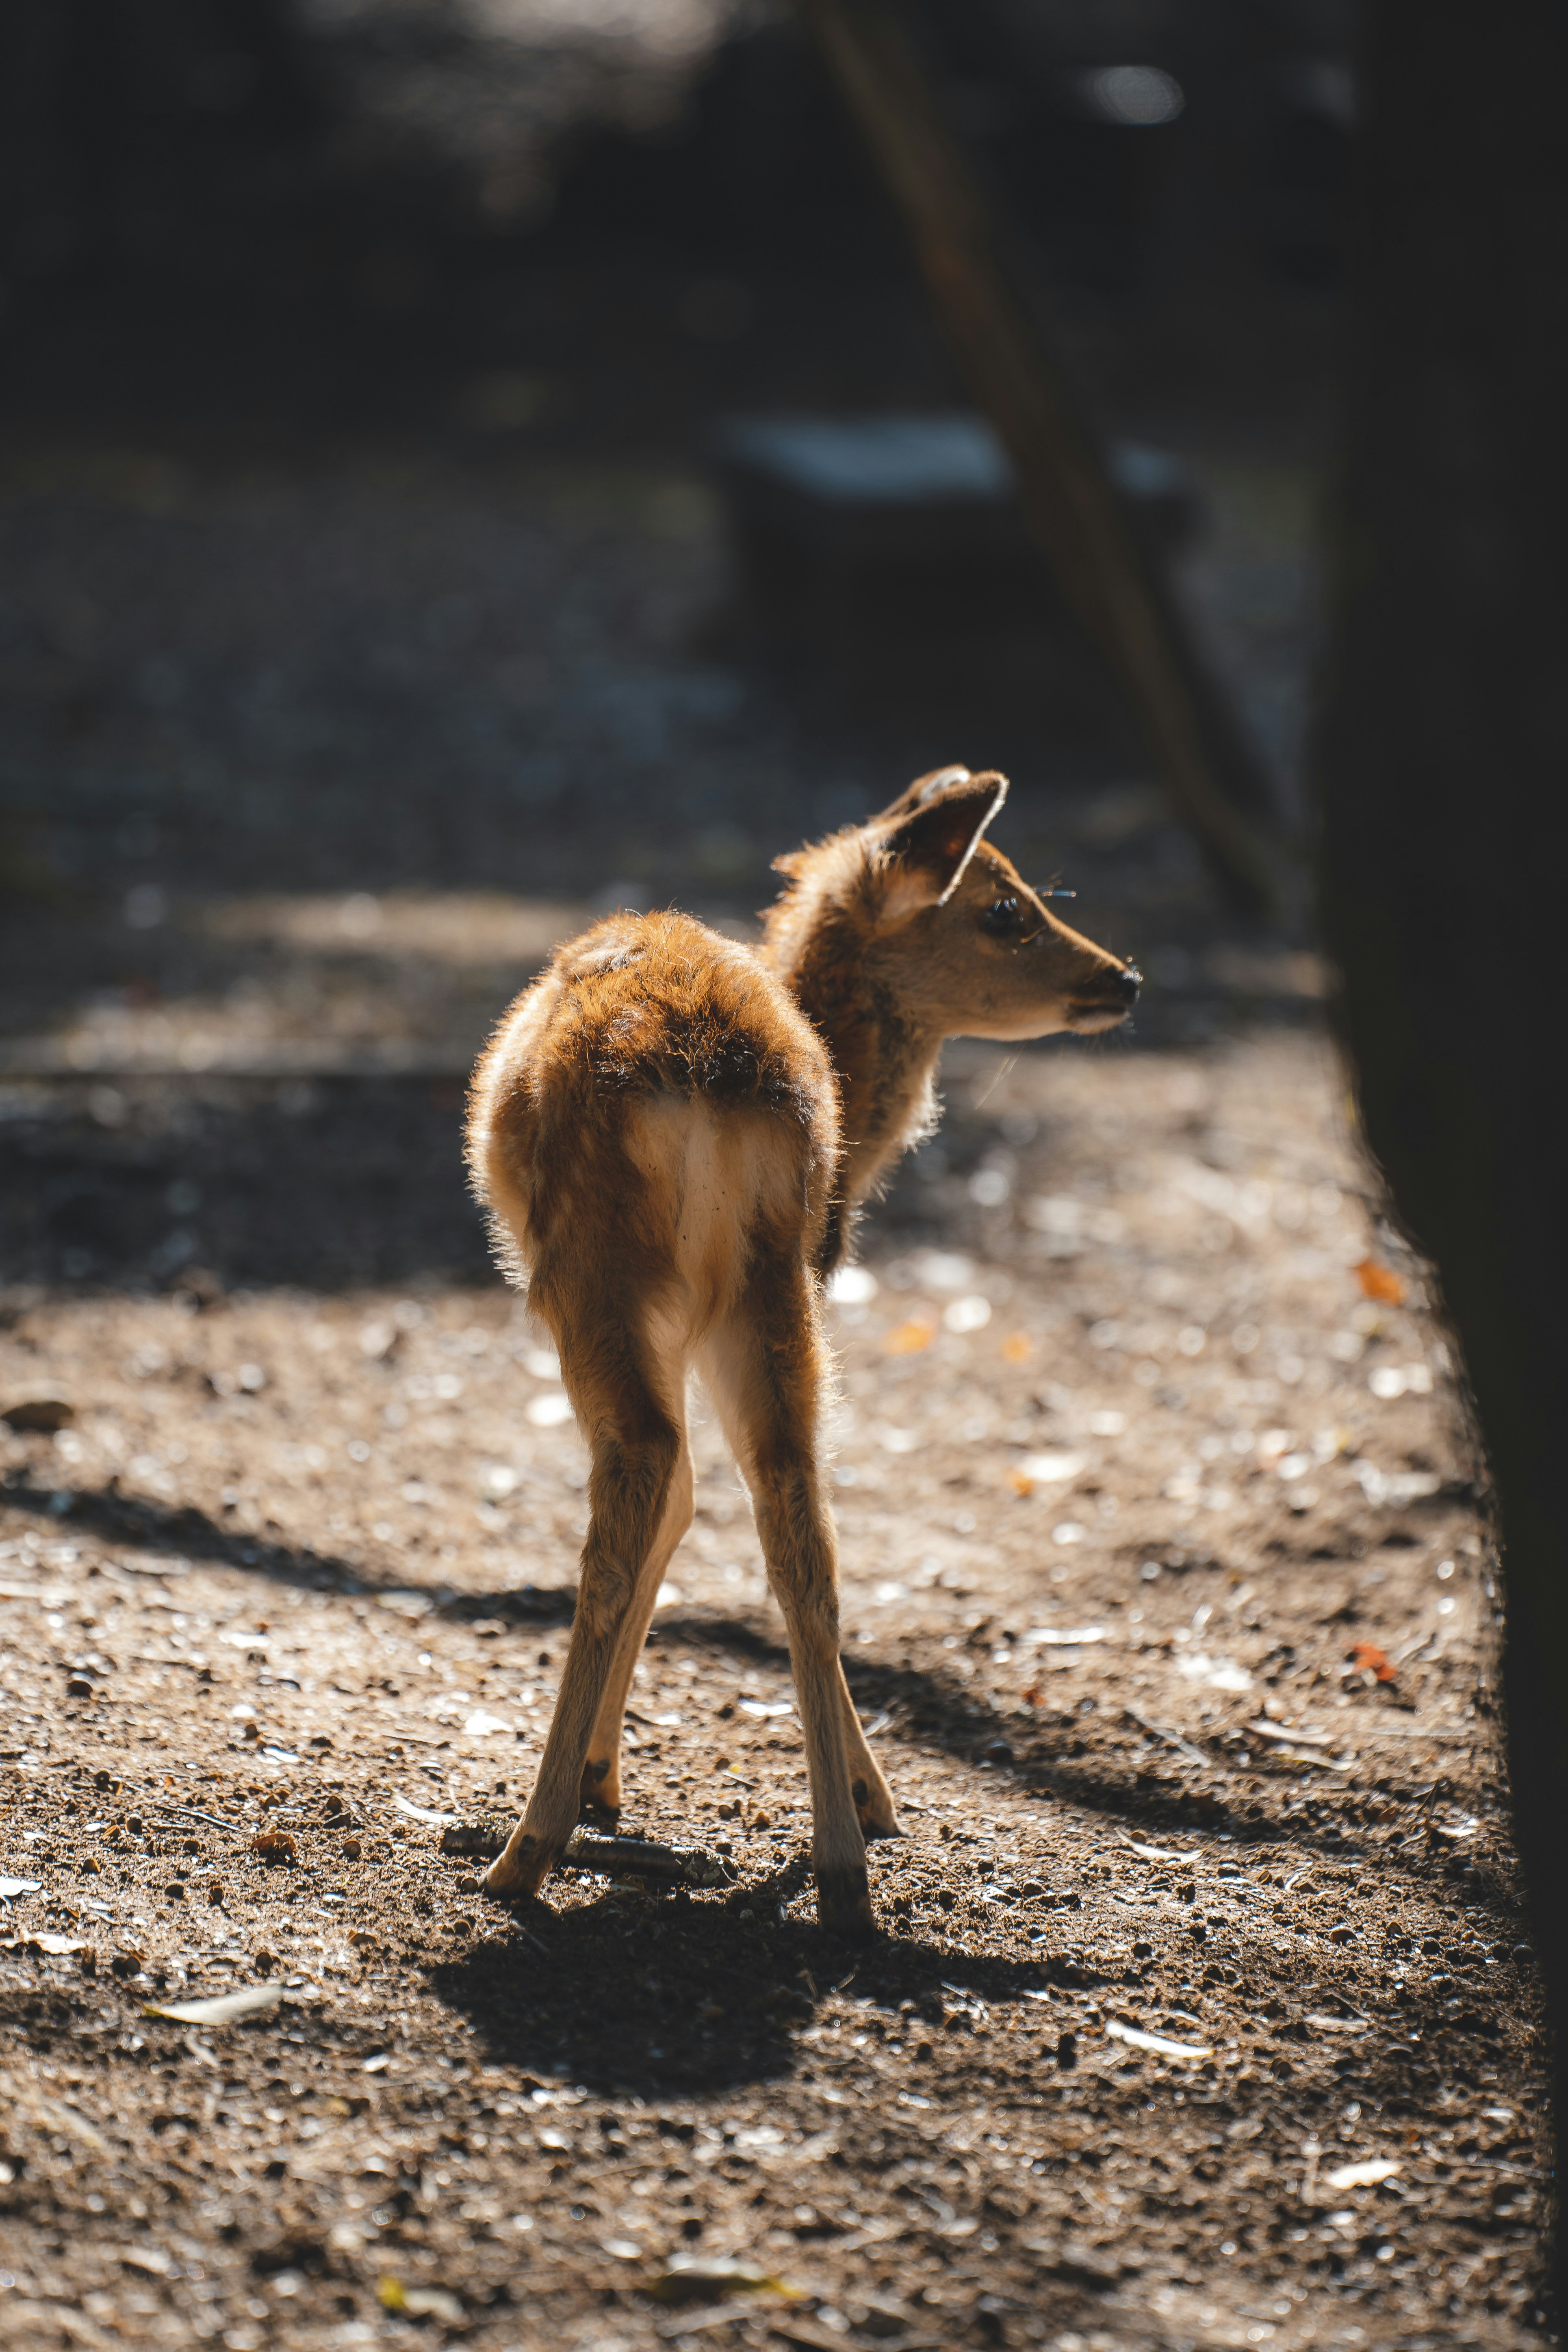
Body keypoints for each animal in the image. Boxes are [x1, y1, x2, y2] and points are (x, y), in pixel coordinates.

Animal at [465, 765, 1139, 1932]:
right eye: (1005, 908)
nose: (1127, 977)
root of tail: (706, 1068)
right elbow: (714, 1506)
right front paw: (871, 1800)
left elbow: (674, 1499)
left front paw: (600, 1779)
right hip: (772, 1285)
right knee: (796, 1516)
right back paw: (843, 1867)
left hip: (593, 1272)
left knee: (641, 1476)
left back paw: (525, 1848)